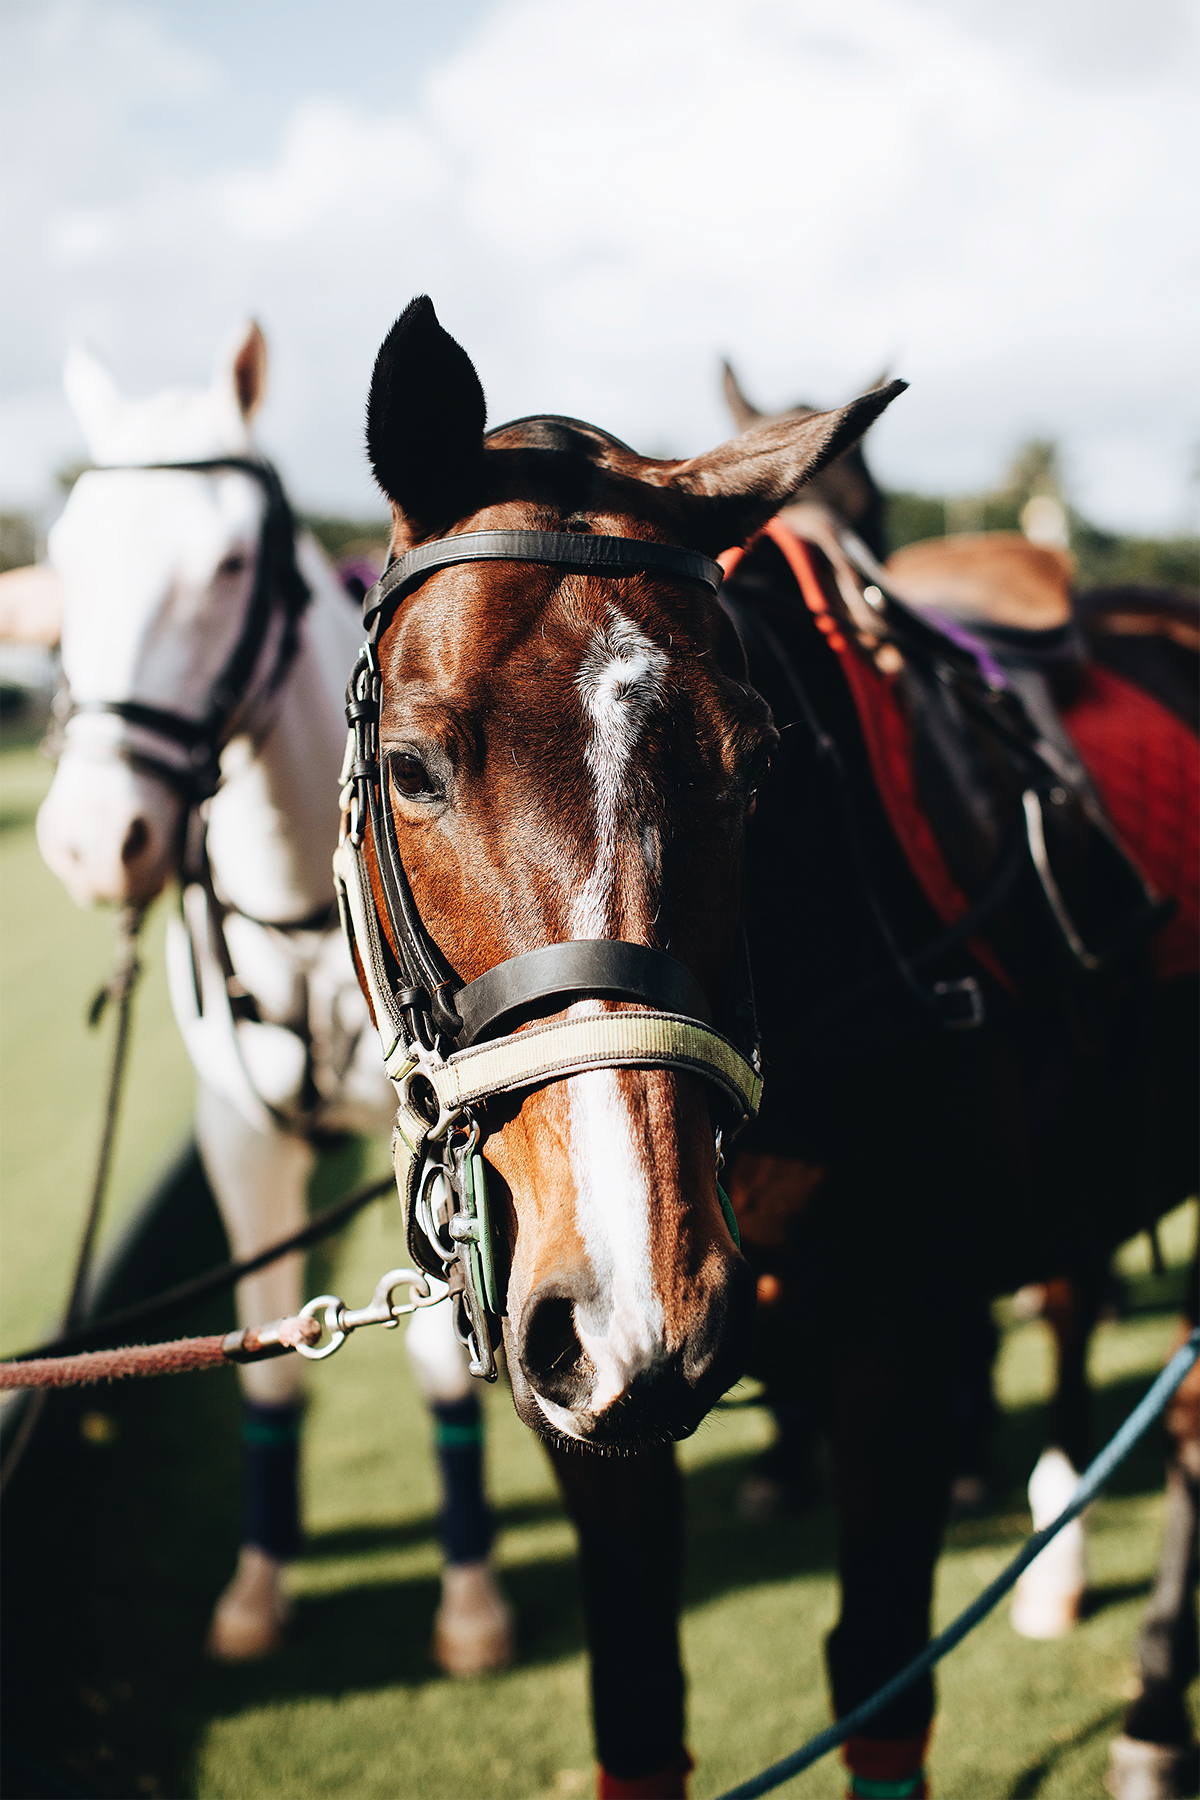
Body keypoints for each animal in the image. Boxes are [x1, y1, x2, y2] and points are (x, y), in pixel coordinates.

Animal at [35, 324, 514, 1670]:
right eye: (62, 563)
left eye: (230, 563)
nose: (92, 842)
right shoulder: (240, 1135)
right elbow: (268, 1362)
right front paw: (256, 1588)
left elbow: (439, 1354)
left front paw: (470, 1599)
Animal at [352, 298, 1194, 1800]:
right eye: (410, 765)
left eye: (756, 767)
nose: (639, 1302)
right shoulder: (578, 1390)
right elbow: (636, 1703)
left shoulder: (901, 1343)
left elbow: (882, 1680)